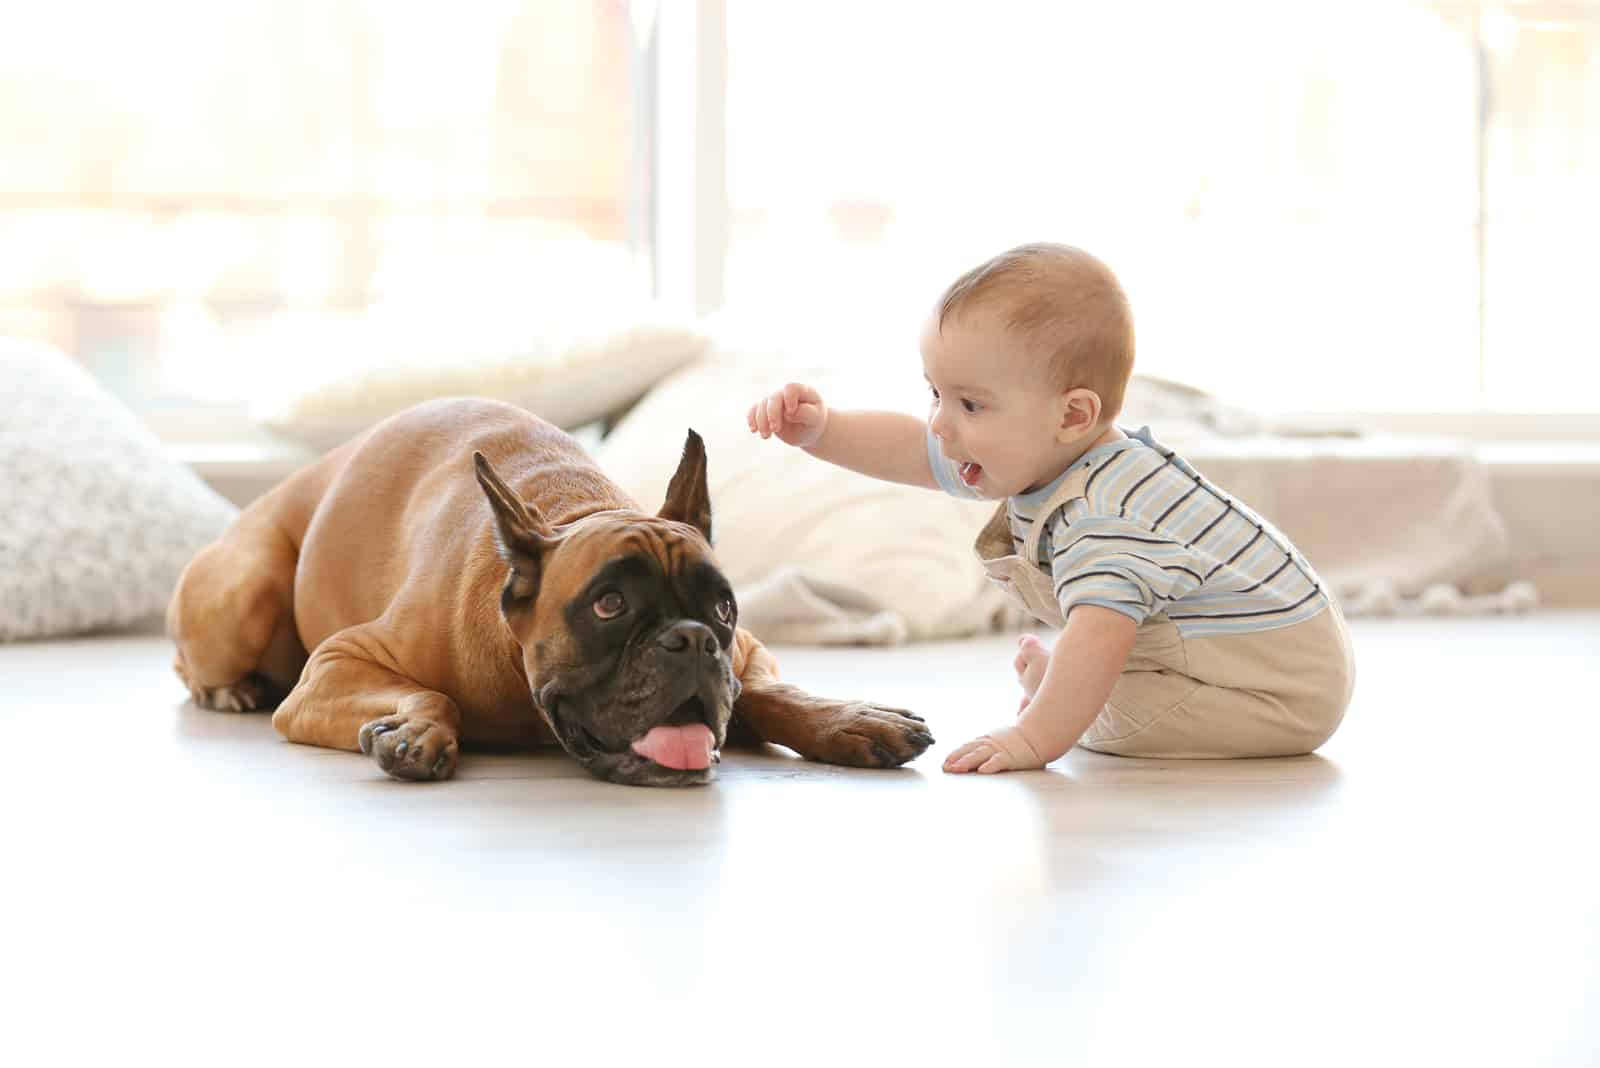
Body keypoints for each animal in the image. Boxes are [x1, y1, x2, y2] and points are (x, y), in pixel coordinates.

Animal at [168, 398, 934, 783]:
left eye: (720, 607)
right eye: (608, 605)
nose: (690, 641)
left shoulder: (746, 651)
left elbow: (771, 692)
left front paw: (849, 718)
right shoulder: (333, 667)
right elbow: (431, 693)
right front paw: (416, 728)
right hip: (245, 592)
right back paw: (228, 689)